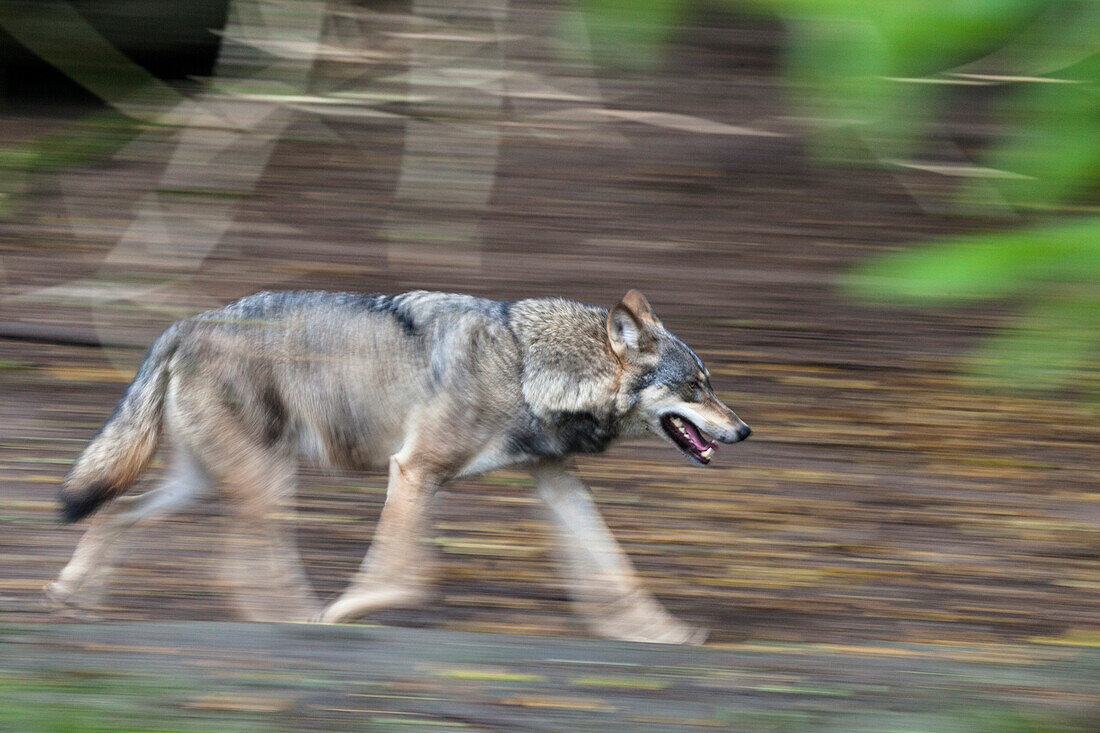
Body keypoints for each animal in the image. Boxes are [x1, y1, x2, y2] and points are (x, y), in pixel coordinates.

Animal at [49, 288, 748, 642]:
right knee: (237, 566)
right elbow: (404, 574)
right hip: (266, 480)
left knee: (117, 511)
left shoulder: (557, 486)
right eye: (694, 390)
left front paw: (658, 633)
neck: (529, 364)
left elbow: (614, 571)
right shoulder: (413, 471)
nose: (743, 430)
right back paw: (295, 622)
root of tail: (184, 324)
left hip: (205, 481)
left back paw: (72, 596)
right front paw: (346, 614)